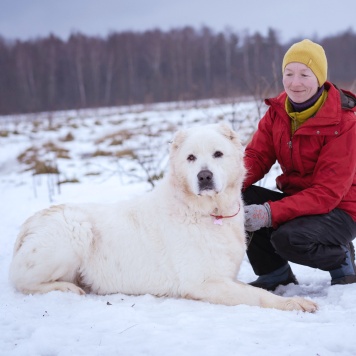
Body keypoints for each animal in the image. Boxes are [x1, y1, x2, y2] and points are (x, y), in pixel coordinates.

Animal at [9, 123, 318, 312]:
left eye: (218, 154)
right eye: (191, 158)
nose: (204, 176)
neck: (206, 211)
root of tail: (29, 223)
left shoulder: (222, 277)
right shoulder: (203, 282)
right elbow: (258, 295)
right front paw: (296, 303)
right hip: (75, 229)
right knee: (22, 282)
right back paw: (67, 288)